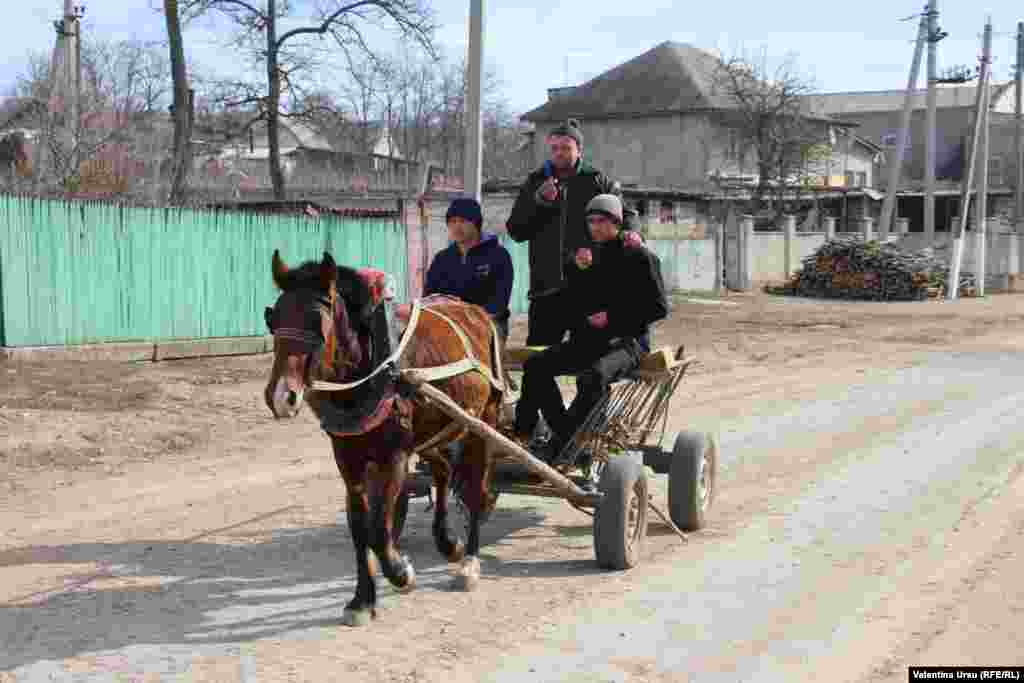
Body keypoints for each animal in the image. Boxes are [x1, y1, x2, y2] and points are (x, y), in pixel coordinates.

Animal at [262, 249, 505, 626]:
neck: (371, 364)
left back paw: (469, 562)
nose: (280, 396)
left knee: (476, 490)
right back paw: (448, 541)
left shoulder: (393, 456)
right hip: (434, 431)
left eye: (317, 321)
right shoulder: (348, 458)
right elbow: (361, 528)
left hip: (483, 423)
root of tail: (477, 312)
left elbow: (378, 529)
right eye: (273, 319)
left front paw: (401, 572)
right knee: (442, 470)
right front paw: (362, 600)